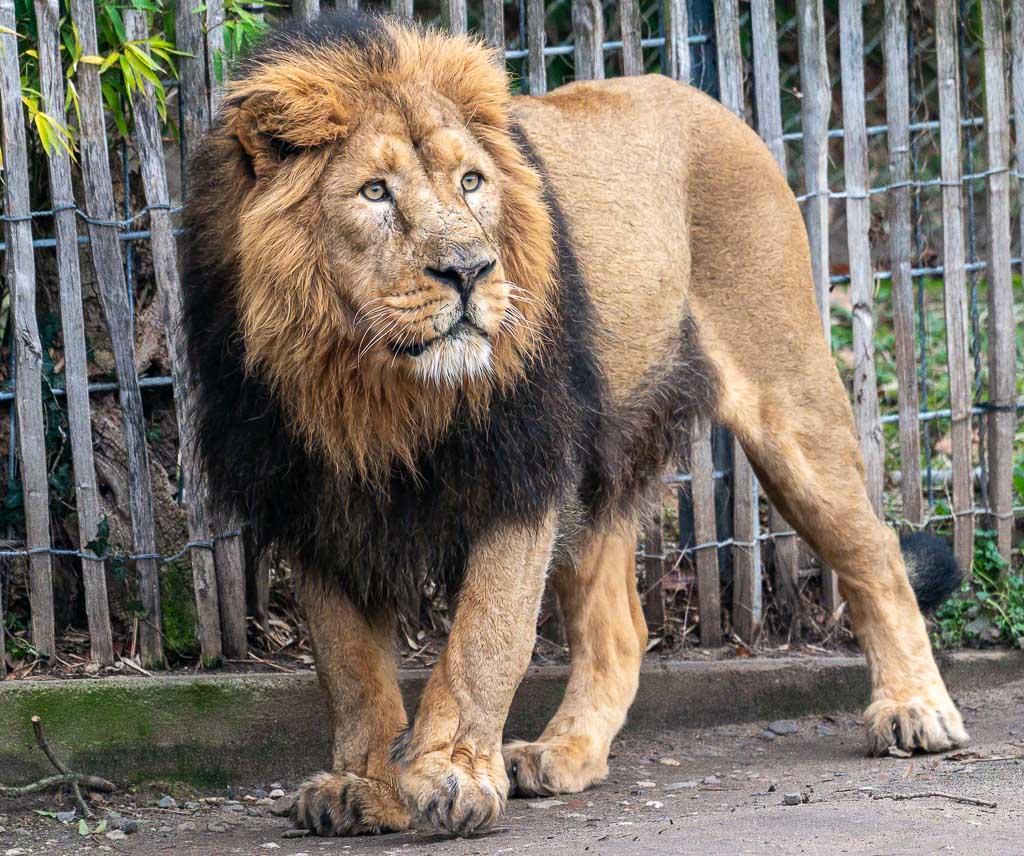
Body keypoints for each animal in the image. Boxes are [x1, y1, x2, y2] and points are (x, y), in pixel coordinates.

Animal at [182, 10, 968, 838]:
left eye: (471, 182)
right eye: (374, 192)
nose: (470, 270)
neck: (372, 386)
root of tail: (708, 103)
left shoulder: (522, 468)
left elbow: (484, 639)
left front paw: (453, 777)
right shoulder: (312, 499)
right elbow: (350, 668)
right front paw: (362, 785)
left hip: (788, 396)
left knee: (874, 552)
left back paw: (916, 710)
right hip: (602, 468)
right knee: (620, 633)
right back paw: (561, 753)